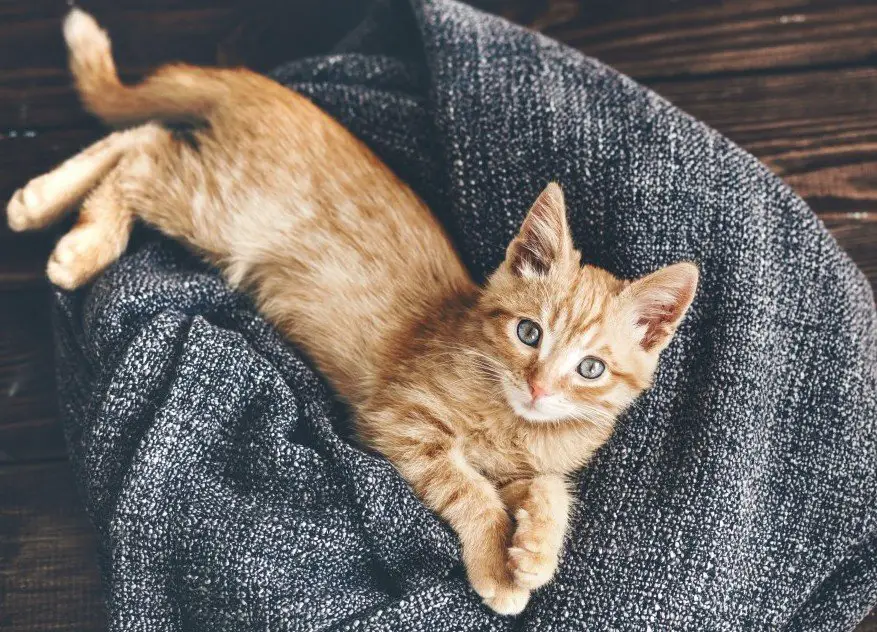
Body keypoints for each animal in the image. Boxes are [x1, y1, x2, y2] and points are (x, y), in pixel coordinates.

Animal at [3, 7, 696, 616]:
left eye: (590, 369)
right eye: (529, 333)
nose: (538, 385)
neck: (512, 419)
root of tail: (267, 88)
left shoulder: (519, 461)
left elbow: (547, 484)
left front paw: (536, 547)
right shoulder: (403, 422)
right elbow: (469, 490)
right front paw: (497, 569)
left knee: (140, 137)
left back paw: (41, 205)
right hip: (223, 210)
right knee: (144, 154)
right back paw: (73, 239)